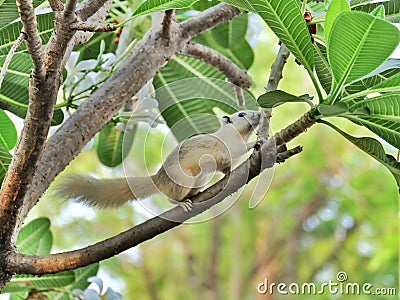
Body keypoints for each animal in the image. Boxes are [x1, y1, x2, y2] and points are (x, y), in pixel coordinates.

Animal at [57, 110, 262, 211]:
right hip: (184, 179)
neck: (236, 134)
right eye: (241, 114)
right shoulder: (228, 147)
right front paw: (257, 141)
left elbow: (227, 167)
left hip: (199, 179)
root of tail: (157, 179)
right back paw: (182, 203)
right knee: (170, 198)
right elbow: (238, 150)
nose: (260, 114)